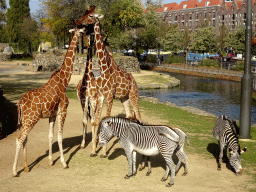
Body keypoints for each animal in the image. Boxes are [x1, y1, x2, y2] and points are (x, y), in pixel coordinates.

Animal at [12, 27, 85, 177]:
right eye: (80, 31)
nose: (85, 31)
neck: (64, 79)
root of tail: (20, 104)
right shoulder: (63, 110)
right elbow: (60, 136)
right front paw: (64, 163)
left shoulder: (52, 114)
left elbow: (50, 136)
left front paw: (51, 161)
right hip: (31, 119)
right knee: (19, 139)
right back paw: (15, 171)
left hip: (25, 120)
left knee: (25, 138)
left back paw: (26, 166)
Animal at [75, 6, 142, 158]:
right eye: (84, 13)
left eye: (91, 15)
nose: (77, 21)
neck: (104, 68)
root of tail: (134, 80)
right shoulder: (100, 97)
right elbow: (97, 121)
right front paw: (94, 150)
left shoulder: (109, 96)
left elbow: (105, 119)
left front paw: (104, 152)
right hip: (123, 98)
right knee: (130, 115)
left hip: (133, 95)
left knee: (139, 116)